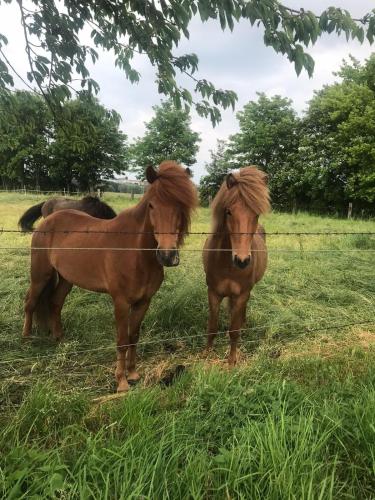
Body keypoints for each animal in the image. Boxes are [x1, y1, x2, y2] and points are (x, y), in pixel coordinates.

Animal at [22, 162, 200, 392]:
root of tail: (48, 220)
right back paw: (26, 339)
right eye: (151, 206)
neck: (136, 253)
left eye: (180, 206)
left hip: (66, 279)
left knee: (55, 302)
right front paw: (121, 382)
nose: (167, 255)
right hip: (40, 274)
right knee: (31, 302)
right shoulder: (121, 302)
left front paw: (133, 373)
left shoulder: (144, 302)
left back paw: (59, 338)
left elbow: (134, 336)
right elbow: (122, 339)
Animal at [204, 166, 272, 366]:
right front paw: (205, 354)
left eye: (256, 214)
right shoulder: (213, 293)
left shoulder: (242, 294)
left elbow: (234, 331)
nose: (242, 260)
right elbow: (212, 326)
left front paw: (232, 361)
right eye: (228, 212)